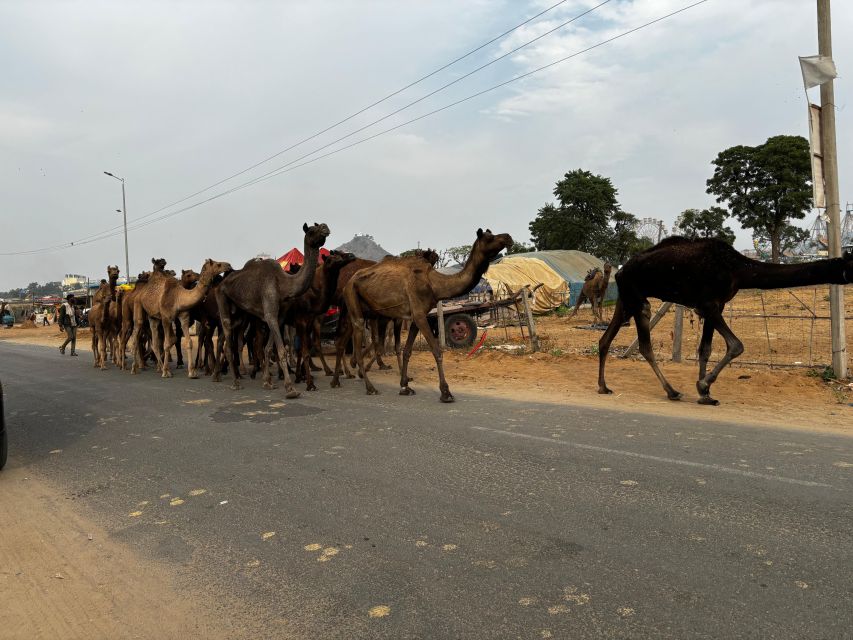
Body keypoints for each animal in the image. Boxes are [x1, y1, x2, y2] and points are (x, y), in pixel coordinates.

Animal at [213, 222, 330, 398]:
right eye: (311, 231)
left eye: (321, 225)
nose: (325, 228)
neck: (284, 284)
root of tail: (221, 284)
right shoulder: (270, 315)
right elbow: (280, 350)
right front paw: (290, 388)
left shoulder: (279, 318)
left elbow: (268, 349)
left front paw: (267, 382)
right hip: (222, 299)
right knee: (227, 341)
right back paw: (235, 382)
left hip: (239, 312)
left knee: (225, 339)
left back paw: (221, 375)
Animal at [338, 228, 512, 402]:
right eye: (489, 237)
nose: (508, 237)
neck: (434, 284)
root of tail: (348, 282)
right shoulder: (419, 315)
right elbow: (437, 351)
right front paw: (445, 392)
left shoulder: (416, 317)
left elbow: (407, 350)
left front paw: (405, 386)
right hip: (352, 298)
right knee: (357, 336)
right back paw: (368, 386)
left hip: (369, 310)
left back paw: (345, 376)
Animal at [596, 235, 852, 404]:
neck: (738, 269)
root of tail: (620, 270)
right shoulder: (708, 304)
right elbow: (736, 345)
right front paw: (702, 385)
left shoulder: (716, 305)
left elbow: (705, 349)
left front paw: (705, 394)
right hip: (638, 298)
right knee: (644, 344)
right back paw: (672, 391)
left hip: (626, 298)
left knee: (605, 339)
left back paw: (603, 386)